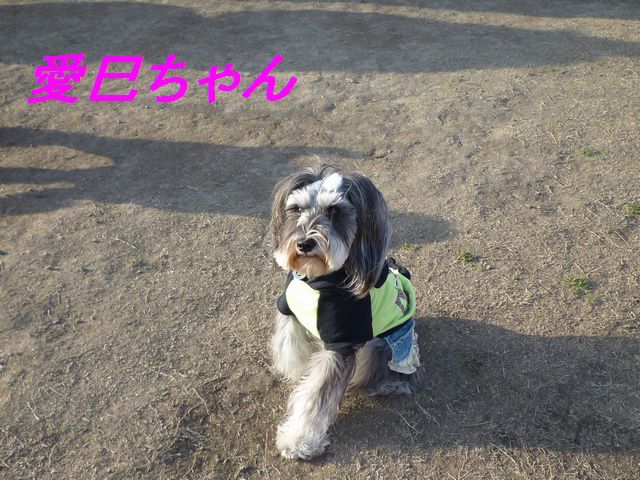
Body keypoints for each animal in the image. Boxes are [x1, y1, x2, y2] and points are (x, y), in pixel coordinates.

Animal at [268, 166, 422, 460]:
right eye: (296, 209)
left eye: (335, 212)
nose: (305, 244)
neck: (316, 281)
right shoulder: (289, 311)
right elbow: (289, 346)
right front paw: (297, 372)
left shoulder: (339, 345)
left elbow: (316, 395)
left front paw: (299, 439)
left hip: (384, 346)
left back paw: (388, 384)